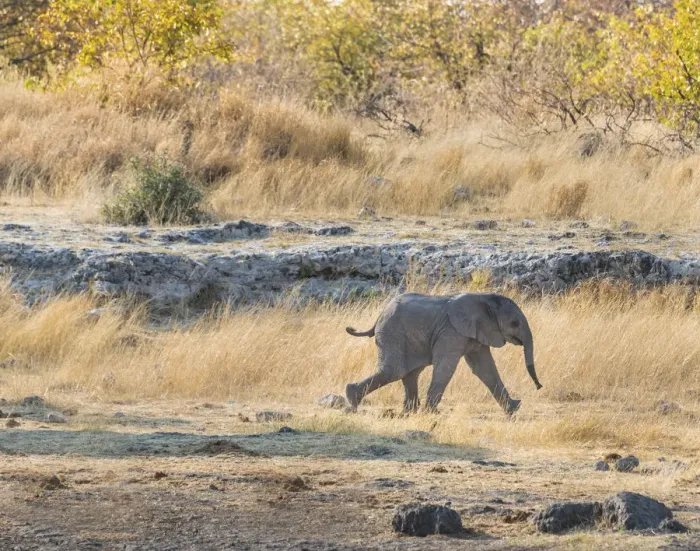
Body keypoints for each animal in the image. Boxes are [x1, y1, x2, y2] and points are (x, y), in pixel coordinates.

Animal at [344, 292, 542, 415]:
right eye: (515, 323)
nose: (539, 386)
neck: (484, 298)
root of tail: (379, 315)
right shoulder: (451, 331)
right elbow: (446, 366)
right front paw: (431, 413)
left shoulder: (476, 334)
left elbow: (485, 369)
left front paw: (513, 410)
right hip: (392, 333)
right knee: (395, 370)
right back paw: (352, 399)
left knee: (410, 373)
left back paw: (408, 412)